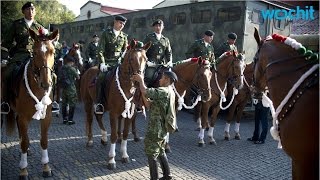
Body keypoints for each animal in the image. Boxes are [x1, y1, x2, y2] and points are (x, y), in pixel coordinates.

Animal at [3, 28, 59, 179]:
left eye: (53, 51)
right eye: (34, 52)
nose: (46, 83)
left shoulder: (47, 116)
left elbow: (44, 141)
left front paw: (46, 167)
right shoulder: (23, 117)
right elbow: (24, 142)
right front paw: (23, 170)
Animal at [79, 38, 151, 169]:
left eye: (146, 59)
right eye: (131, 59)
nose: (139, 81)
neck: (126, 85)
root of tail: (88, 70)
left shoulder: (129, 114)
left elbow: (125, 134)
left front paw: (124, 155)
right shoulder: (113, 113)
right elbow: (113, 135)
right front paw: (111, 159)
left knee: (98, 116)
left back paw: (103, 138)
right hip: (88, 102)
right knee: (90, 118)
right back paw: (90, 140)